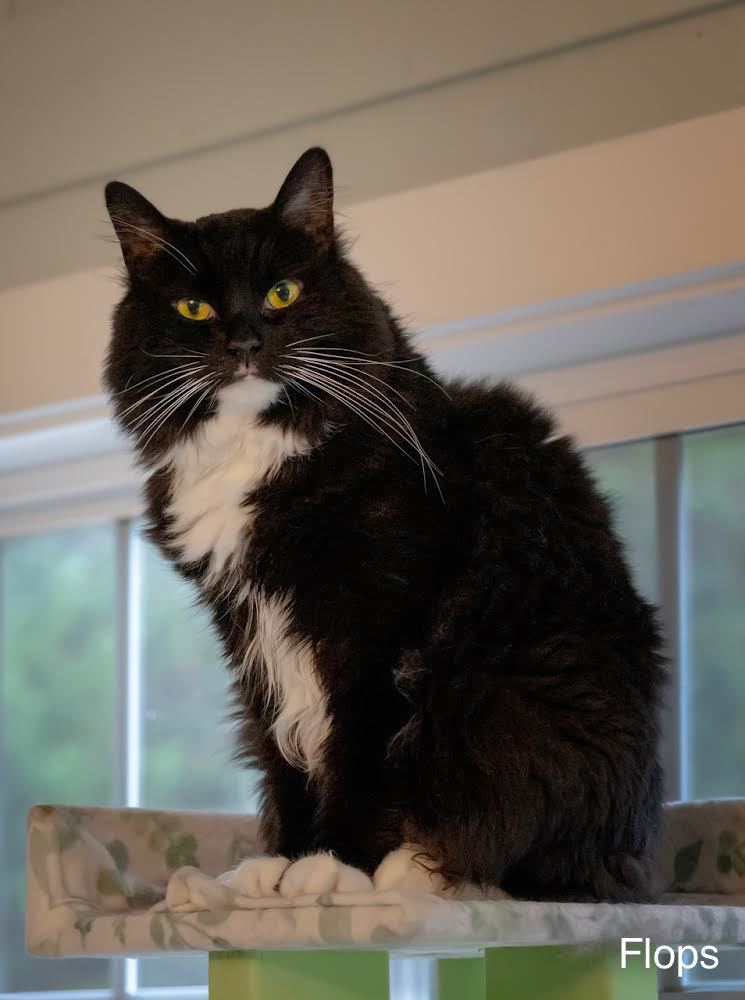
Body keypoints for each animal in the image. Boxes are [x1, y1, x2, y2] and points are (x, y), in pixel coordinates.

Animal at [103, 148, 664, 908]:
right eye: (194, 307)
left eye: (281, 292)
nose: (245, 340)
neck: (259, 451)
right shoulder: (251, 637)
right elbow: (286, 756)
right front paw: (279, 864)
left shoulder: (379, 627)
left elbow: (361, 754)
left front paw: (333, 865)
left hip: (515, 700)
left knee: (523, 855)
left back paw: (413, 871)